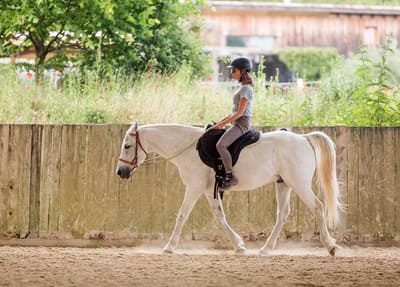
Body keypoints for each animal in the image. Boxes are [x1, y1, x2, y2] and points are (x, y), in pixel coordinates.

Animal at [116, 121, 344, 256]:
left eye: (127, 146)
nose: (120, 172)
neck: (188, 148)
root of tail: (304, 138)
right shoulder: (209, 192)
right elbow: (220, 217)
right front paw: (239, 245)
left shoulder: (194, 188)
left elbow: (182, 215)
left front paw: (169, 247)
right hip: (284, 184)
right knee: (283, 214)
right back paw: (265, 249)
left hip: (299, 184)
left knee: (318, 207)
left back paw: (330, 246)